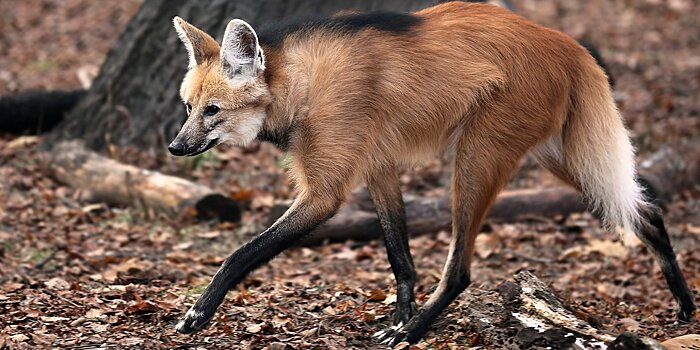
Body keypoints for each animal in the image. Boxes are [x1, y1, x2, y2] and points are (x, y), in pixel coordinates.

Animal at [168, 0, 696, 344]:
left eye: (213, 111)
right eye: (189, 107)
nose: (175, 147)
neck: (298, 84)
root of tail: (571, 46)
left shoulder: (325, 192)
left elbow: (241, 253)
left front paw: (197, 313)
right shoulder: (378, 167)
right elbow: (399, 256)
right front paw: (398, 317)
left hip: (477, 157)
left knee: (460, 270)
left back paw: (418, 334)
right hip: (560, 158)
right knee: (645, 212)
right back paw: (685, 306)